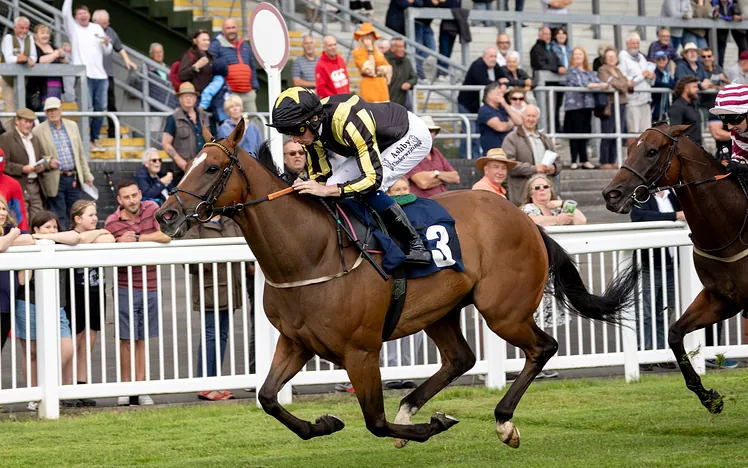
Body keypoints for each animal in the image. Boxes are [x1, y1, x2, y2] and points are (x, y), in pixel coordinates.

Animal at [156, 118, 638, 448]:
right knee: (461, 358)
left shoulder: (361, 350)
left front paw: (431, 425)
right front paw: (324, 423)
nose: (165, 214)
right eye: (188, 165)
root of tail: (524, 218)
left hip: (504, 310)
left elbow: (373, 421)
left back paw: (502, 421)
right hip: (441, 310)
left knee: (542, 348)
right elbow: (269, 398)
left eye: (212, 167)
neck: (309, 253)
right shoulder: (296, 342)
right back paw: (412, 409)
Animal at [602, 123, 744, 414]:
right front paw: (708, 397)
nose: (612, 194)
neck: (730, 231)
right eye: (629, 149)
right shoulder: (721, 298)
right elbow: (674, 333)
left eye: (652, 151)